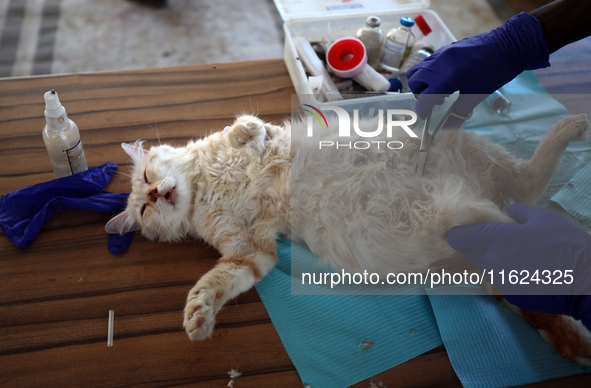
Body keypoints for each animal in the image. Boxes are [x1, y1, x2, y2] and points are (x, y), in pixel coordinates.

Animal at [106, 111, 591, 364]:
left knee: (527, 184)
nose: (155, 192)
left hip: (473, 151)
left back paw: (569, 128)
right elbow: (214, 285)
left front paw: (245, 131)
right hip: (463, 227)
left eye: (148, 179)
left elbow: (248, 126)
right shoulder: (251, 252)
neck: (207, 189)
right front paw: (199, 317)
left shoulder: (264, 143)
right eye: (144, 207)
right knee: (515, 207)